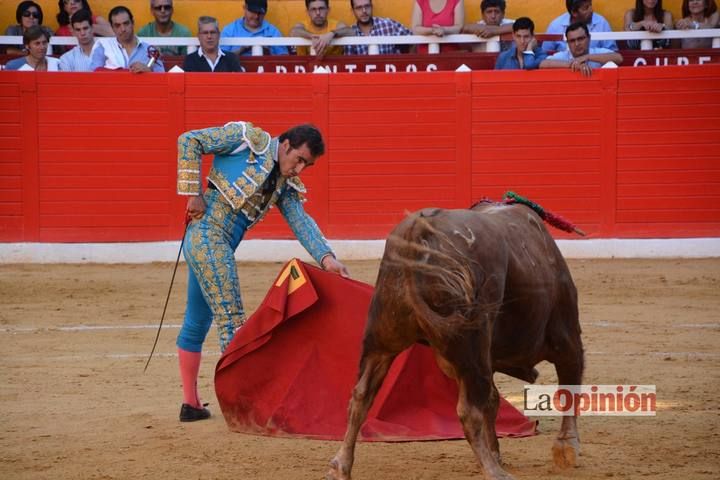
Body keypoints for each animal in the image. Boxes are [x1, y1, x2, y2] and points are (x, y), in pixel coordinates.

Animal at [326, 201, 584, 478]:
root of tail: (416, 231)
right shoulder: (567, 337)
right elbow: (569, 384)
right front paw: (567, 448)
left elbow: (492, 401)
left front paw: (496, 451)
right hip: (472, 342)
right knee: (469, 411)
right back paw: (494, 471)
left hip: (380, 339)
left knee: (361, 395)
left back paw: (340, 466)